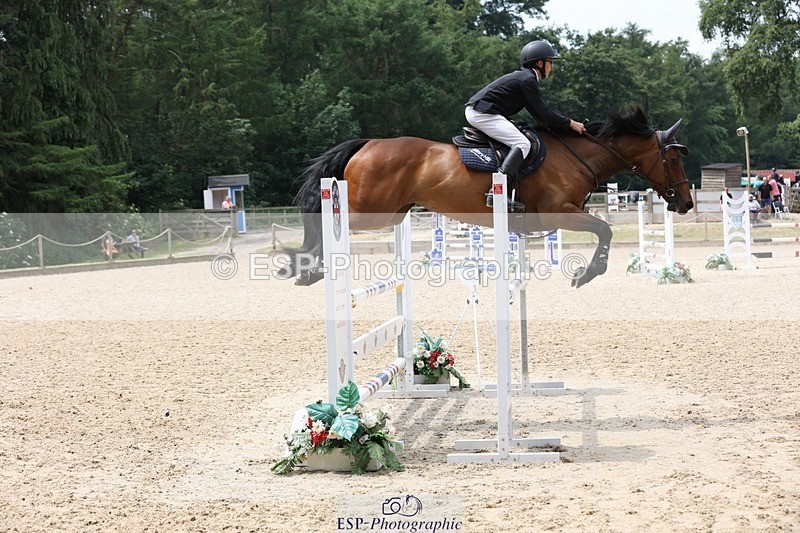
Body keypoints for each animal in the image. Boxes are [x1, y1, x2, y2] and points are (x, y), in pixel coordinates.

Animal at [279, 106, 692, 288]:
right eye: (672, 159)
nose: (686, 203)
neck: (578, 155)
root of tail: (368, 144)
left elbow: (603, 230)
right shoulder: (559, 213)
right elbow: (605, 230)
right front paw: (587, 274)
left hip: (393, 213)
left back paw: (306, 268)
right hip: (371, 212)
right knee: (327, 222)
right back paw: (303, 267)